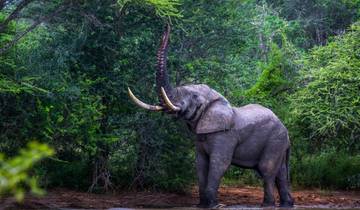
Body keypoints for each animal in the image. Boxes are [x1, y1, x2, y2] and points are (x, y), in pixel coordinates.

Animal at [128, 24, 294, 208]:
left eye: (193, 96)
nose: (167, 26)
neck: (215, 100)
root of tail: (286, 131)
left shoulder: (225, 135)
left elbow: (218, 163)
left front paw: (213, 205)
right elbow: (200, 163)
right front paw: (203, 205)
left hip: (275, 140)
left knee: (267, 170)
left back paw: (267, 205)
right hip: (279, 143)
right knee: (280, 173)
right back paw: (287, 204)